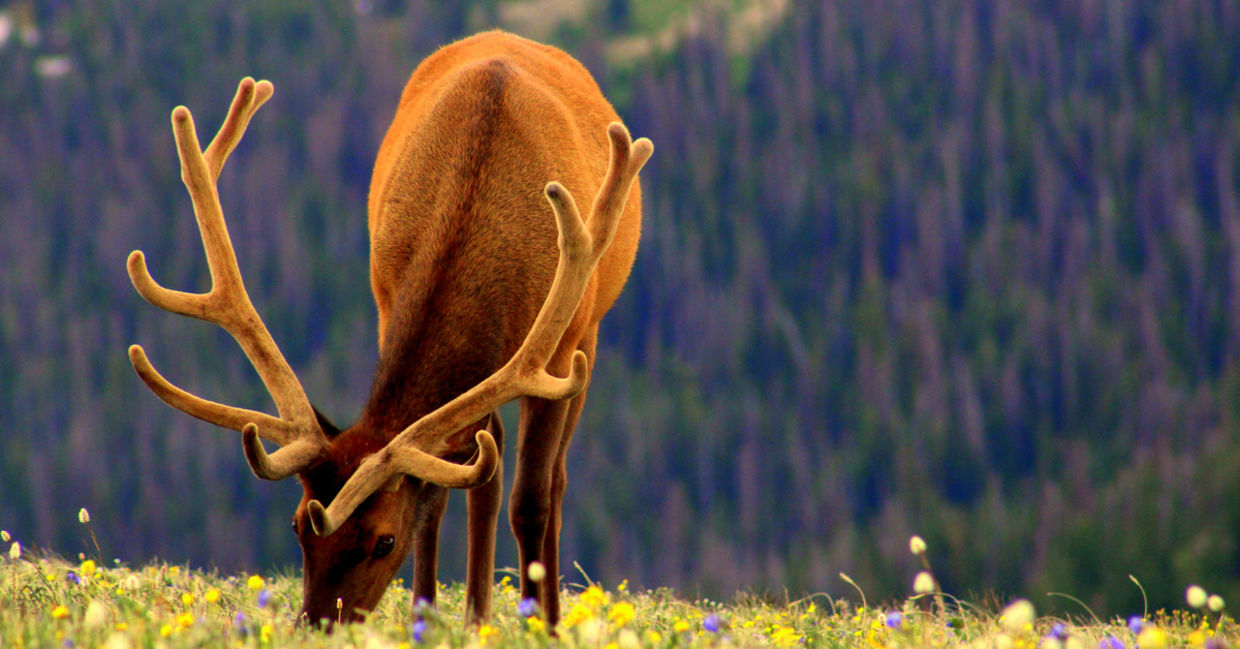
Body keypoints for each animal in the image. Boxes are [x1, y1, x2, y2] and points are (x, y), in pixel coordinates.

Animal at [126, 30, 652, 627]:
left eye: (383, 541)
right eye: (297, 527)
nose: (318, 624)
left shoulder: (559, 353)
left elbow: (533, 500)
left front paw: (542, 624)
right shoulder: (386, 302)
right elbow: (443, 493)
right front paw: (429, 617)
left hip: (588, 336)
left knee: (550, 482)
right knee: (484, 469)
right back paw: (476, 615)